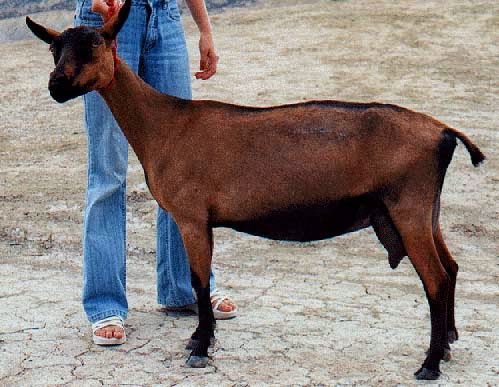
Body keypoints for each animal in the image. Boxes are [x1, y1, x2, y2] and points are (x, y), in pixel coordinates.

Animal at [25, 0, 486, 380]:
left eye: (95, 45)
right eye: (54, 50)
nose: (57, 86)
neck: (165, 125)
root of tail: (443, 132)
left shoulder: (192, 217)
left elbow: (199, 282)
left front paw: (200, 347)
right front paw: (200, 339)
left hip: (408, 207)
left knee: (436, 279)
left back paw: (429, 364)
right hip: (426, 210)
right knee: (452, 267)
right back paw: (447, 345)